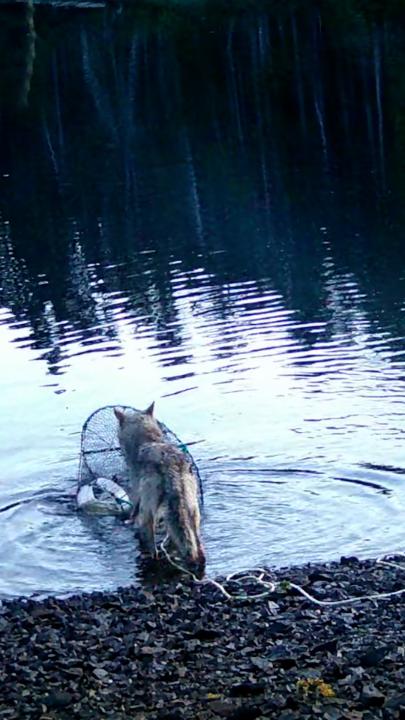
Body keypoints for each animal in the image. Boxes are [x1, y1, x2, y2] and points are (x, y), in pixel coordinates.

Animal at [114, 403, 205, 574]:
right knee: (199, 549)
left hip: (148, 514)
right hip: (193, 514)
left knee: (153, 550)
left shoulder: (138, 500)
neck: (148, 441)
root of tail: (171, 468)